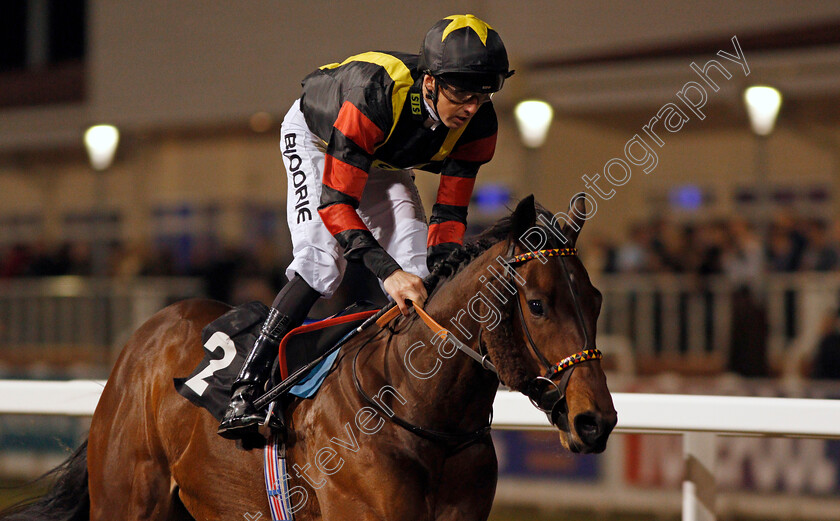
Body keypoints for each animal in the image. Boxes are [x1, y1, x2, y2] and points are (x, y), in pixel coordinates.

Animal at [1, 195, 616, 520]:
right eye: (537, 304)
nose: (597, 420)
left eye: (596, 299)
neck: (418, 408)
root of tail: (146, 335)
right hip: (128, 500)